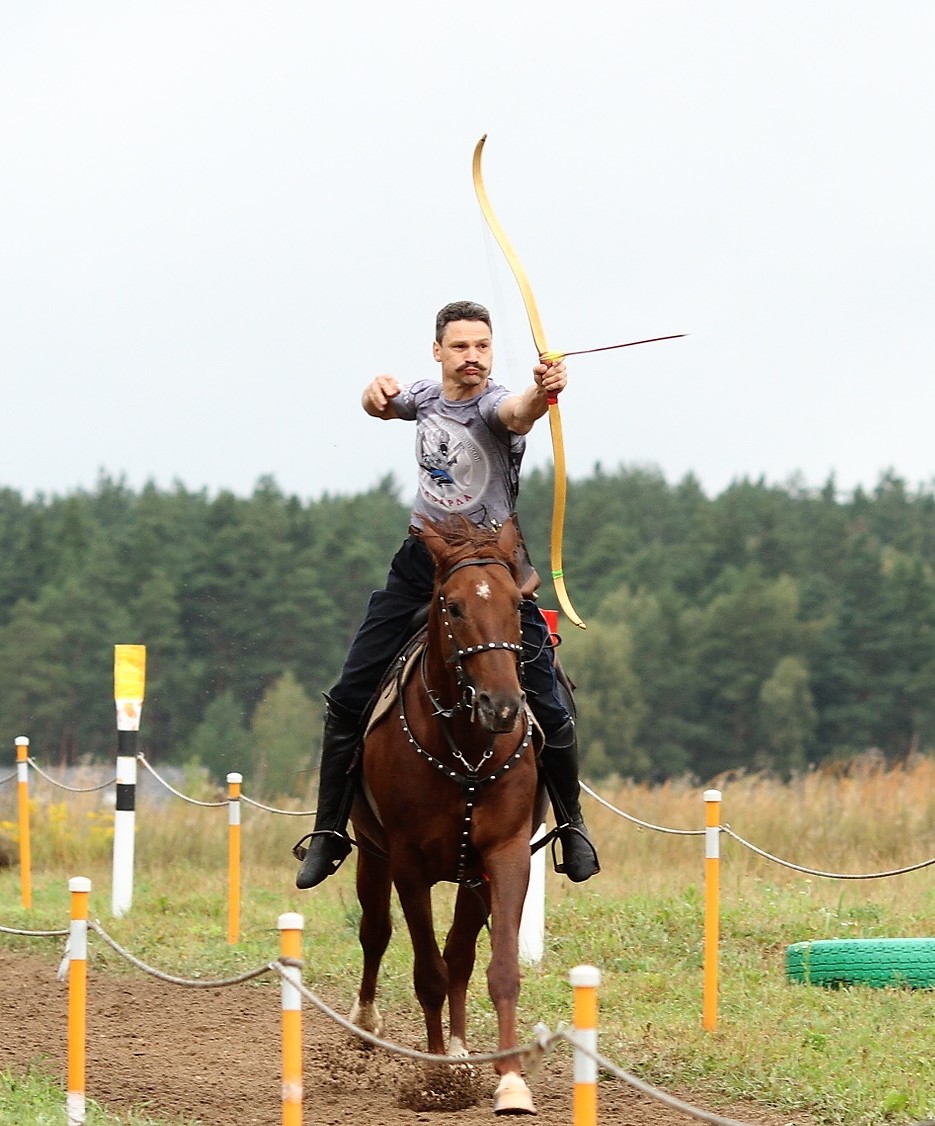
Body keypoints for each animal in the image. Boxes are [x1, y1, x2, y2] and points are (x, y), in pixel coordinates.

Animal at [346, 514, 546, 1116]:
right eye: (452, 606)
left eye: (517, 603)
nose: (502, 706)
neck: (465, 749)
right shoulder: (407, 862)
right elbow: (427, 972)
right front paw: (436, 1078)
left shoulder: (505, 856)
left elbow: (497, 969)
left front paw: (509, 1082)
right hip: (371, 853)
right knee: (375, 931)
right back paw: (367, 1024)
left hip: (470, 875)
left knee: (459, 954)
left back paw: (460, 1053)